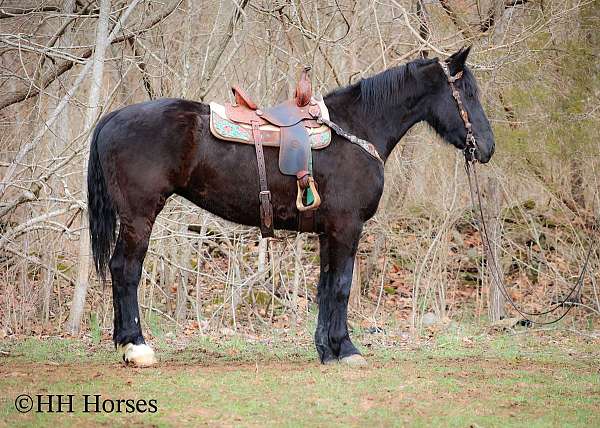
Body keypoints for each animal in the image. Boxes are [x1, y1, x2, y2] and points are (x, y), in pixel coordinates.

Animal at [86, 47, 494, 368]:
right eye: (468, 92)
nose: (487, 147)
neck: (356, 130)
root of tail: (113, 118)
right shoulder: (347, 227)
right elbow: (341, 286)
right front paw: (347, 350)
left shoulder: (330, 232)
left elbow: (325, 286)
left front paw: (327, 350)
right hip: (139, 216)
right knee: (125, 269)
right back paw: (136, 347)